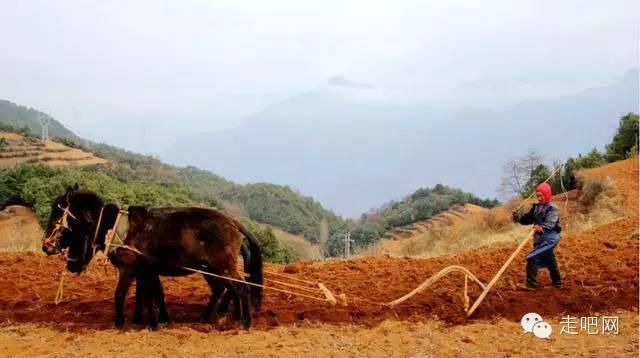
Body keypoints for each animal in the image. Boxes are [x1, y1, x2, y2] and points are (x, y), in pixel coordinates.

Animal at [42, 187, 262, 330]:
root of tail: (233, 222)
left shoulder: (129, 269)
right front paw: (154, 321)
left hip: (222, 267)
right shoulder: (145, 271)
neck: (117, 228)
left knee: (241, 288)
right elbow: (151, 295)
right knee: (226, 289)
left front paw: (120, 323)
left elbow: (121, 294)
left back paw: (244, 323)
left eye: (57, 215)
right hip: (213, 269)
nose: (46, 246)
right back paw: (218, 317)